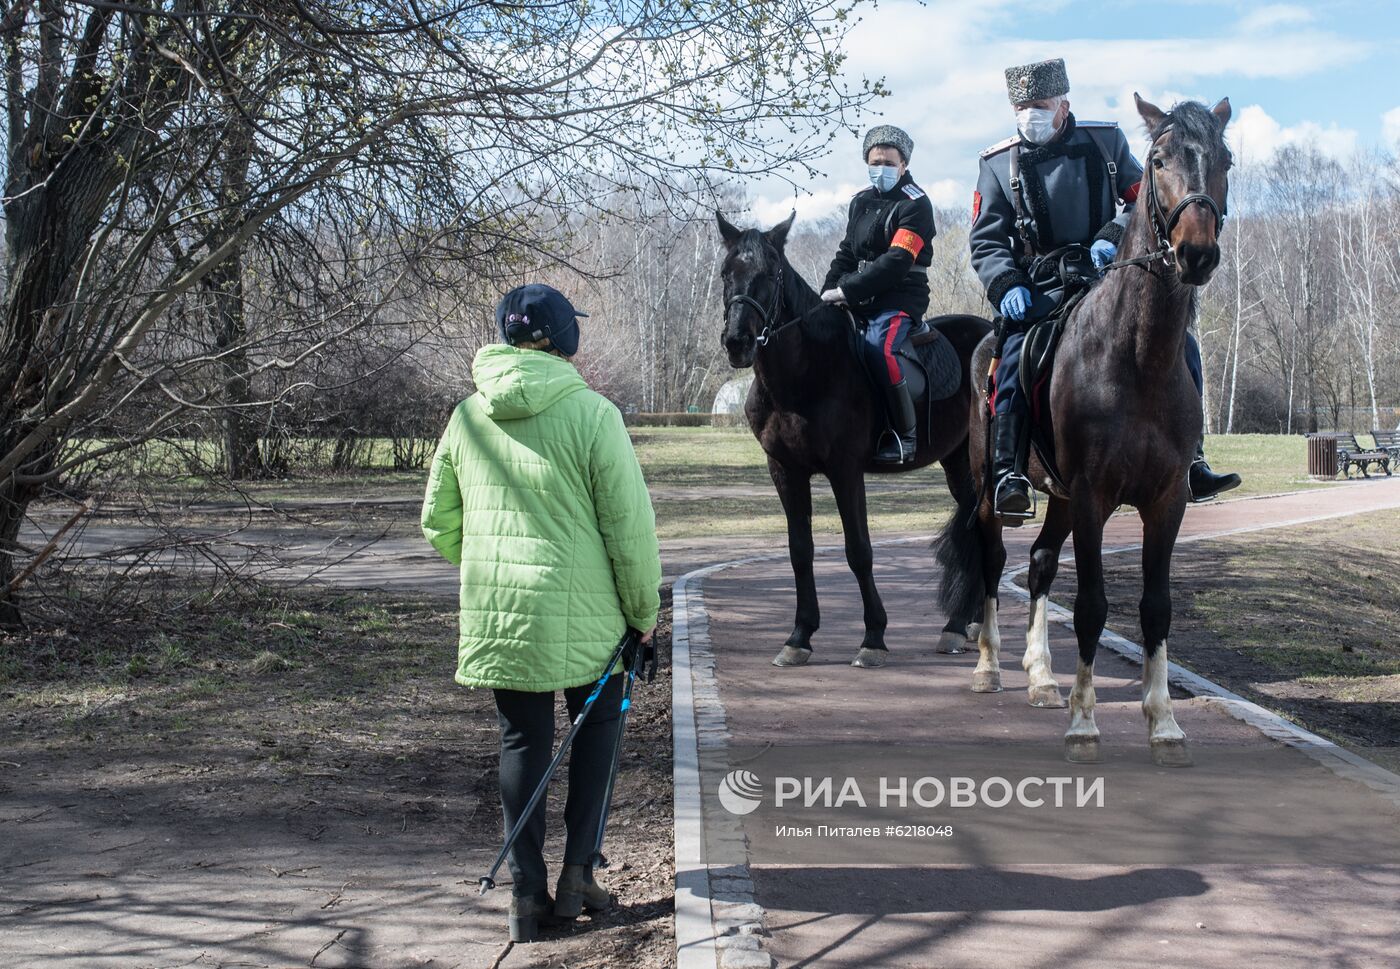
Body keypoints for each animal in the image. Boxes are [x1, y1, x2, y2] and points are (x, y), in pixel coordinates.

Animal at [716, 210, 991, 666]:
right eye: (725, 272)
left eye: (770, 273)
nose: (738, 342)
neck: (806, 371)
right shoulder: (785, 470)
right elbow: (799, 550)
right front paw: (799, 636)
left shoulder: (845, 470)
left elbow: (858, 550)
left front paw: (873, 637)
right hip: (956, 461)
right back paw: (963, 624)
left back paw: (964, 625)